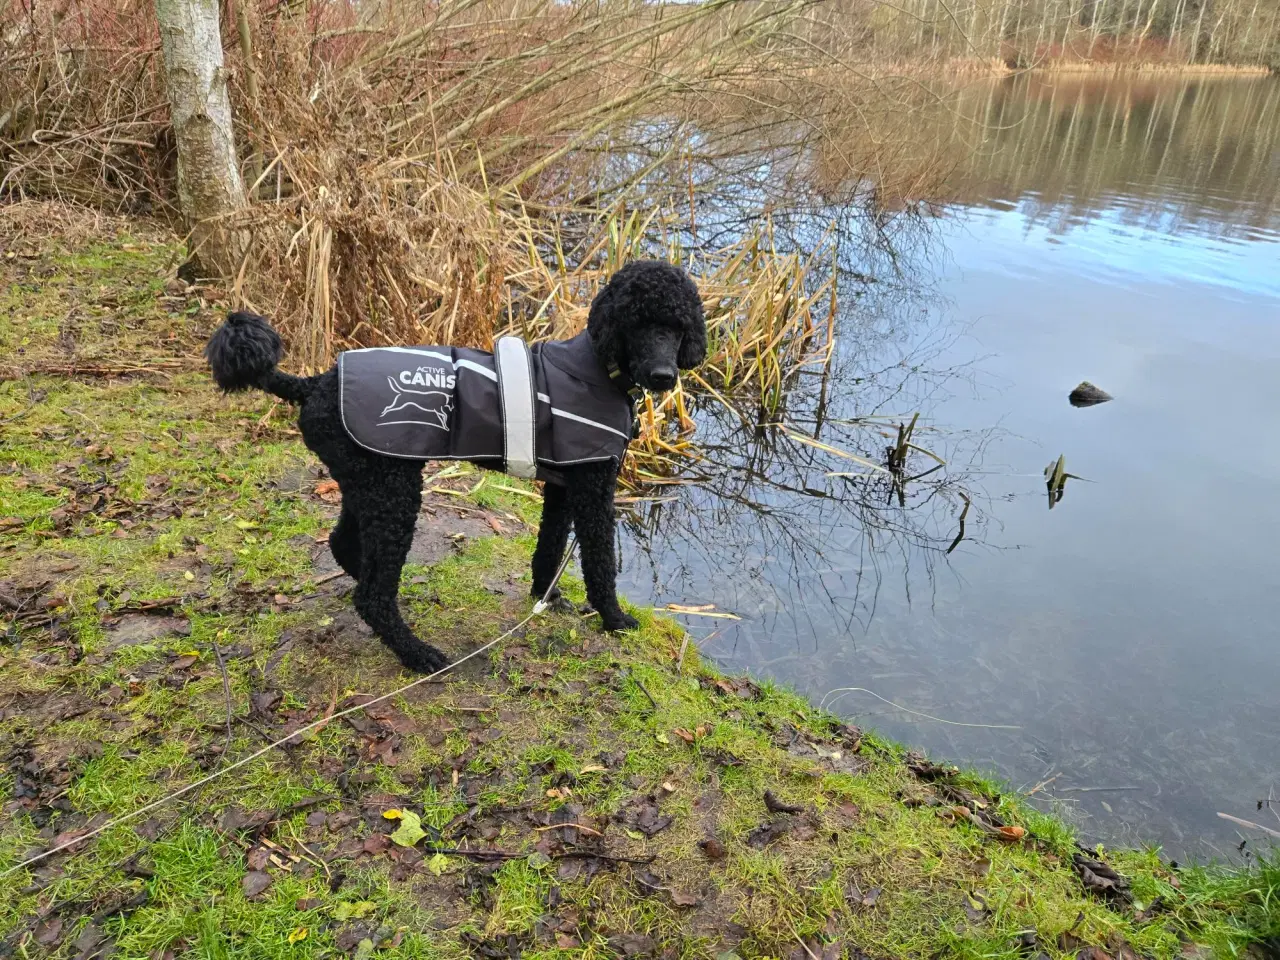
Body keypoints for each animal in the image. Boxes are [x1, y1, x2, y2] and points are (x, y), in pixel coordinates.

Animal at [203, 259, 706, 670]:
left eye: (678, 325)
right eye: (637, 322)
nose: (664, 376)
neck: (599, 367)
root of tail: (314, 383)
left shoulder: (565, 485)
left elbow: (548, 547)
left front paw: (546, 597)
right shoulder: (594, 489)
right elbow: (600, 563)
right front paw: (614, 619)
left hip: (368, 482)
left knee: (345, 547)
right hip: (394, 491)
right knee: (373, 596)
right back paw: (417, 653)